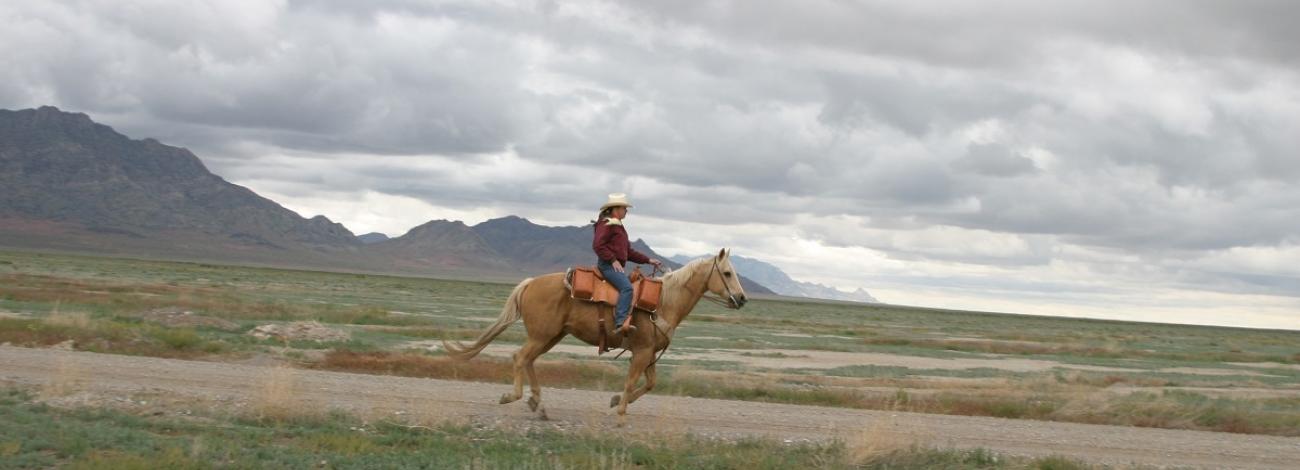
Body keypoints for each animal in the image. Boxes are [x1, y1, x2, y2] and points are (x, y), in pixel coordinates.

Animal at [447, 247, 748, 415]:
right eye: (727, 273)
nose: (742, 299)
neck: (664, 302)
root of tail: (530, 283)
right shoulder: (641, 352)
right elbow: (632, 381)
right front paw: (621, 409)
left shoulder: (649, 353)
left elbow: (650, 383)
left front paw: (616, 401)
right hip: (542, 335)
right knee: (520, 358)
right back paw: (514, 397)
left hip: (550, 336)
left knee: (529, 360)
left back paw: (536, 402)